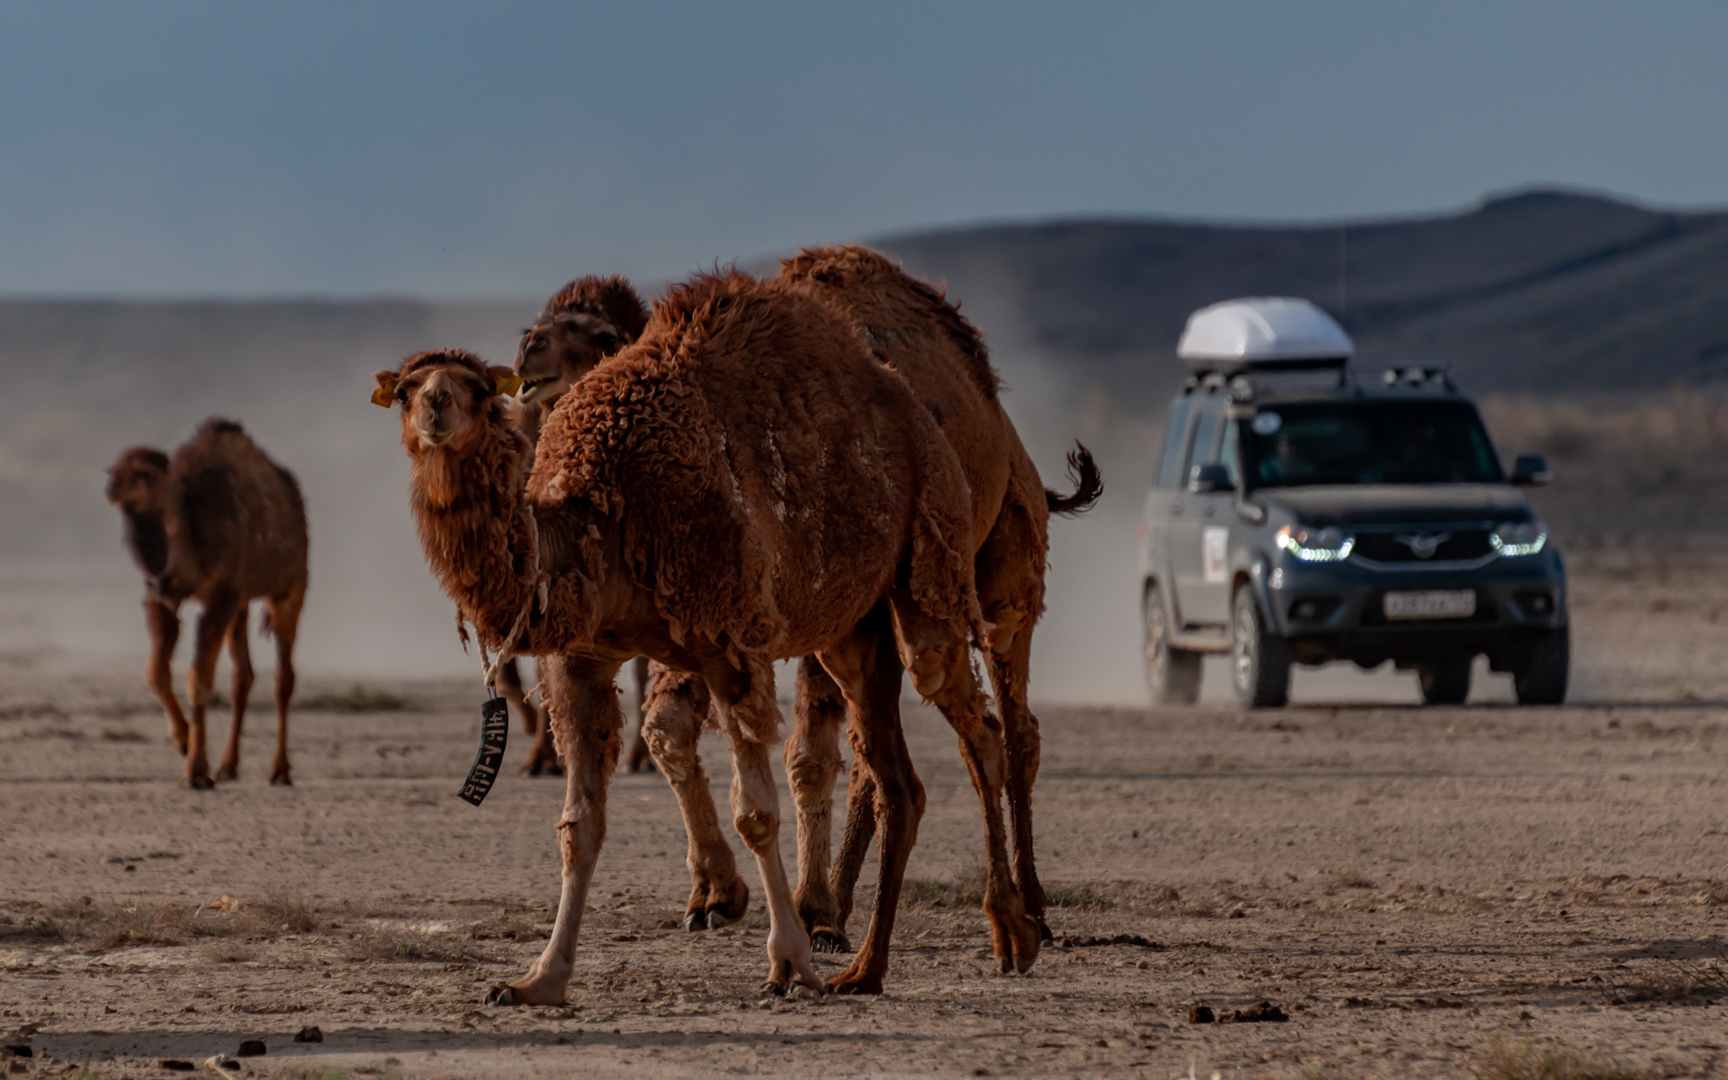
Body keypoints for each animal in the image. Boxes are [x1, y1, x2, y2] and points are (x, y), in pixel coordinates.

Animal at [105, 419, 309, 784]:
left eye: (145, 473)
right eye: (112, 468)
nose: (111, 486)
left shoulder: (220, 596)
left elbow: (199, 678)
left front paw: (197, 772)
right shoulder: (162, 597)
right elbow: (155, 672)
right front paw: (184, 741)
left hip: (290, 588)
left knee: (283, 678)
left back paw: (280, 770)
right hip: (241, 603)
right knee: (244, 675)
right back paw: (228, 766)